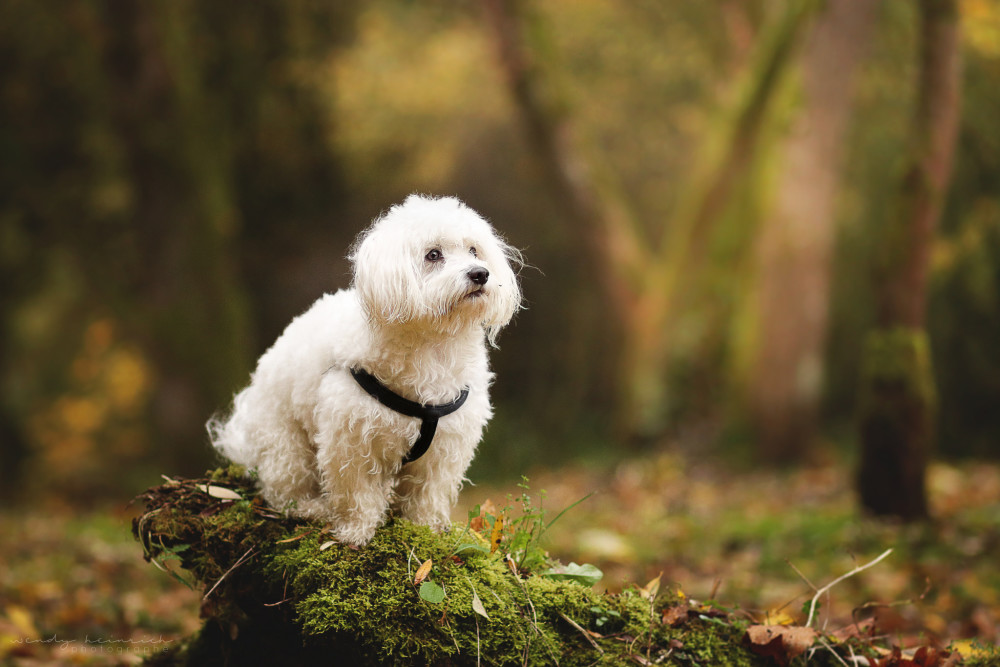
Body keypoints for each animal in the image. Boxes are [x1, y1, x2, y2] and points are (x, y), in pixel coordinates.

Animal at [211, 194, 524, 548]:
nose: (480, 274)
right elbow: (356, 493)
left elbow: (427, 493)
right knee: (283, 490)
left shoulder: (445, 448)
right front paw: (356, 532)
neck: (432, 346)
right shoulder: (350, 440)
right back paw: (310, 508)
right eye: (433, 255)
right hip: (285, 445)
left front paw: (424, 529)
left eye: (474, 250)